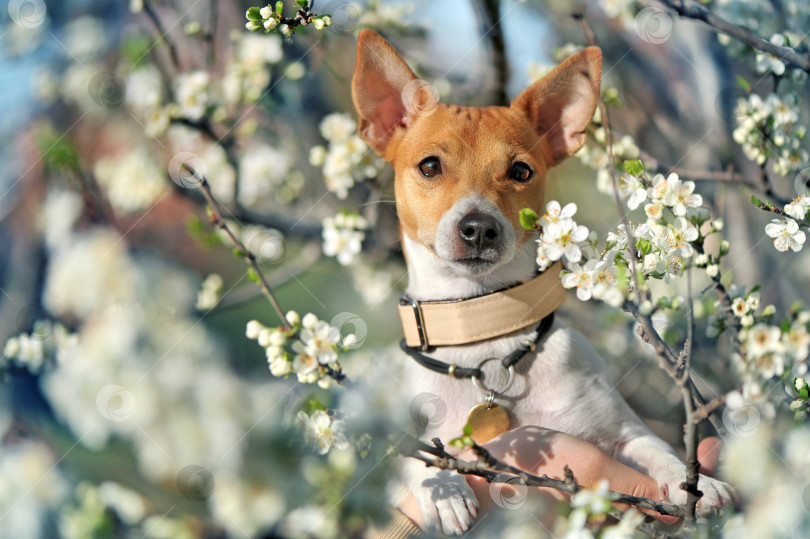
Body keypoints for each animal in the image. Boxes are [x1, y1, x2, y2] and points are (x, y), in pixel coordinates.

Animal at [350, 29, 728, 536]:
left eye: (520, 171)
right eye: (429, 166)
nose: (479, 228)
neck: (483, 327)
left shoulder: (621, 432)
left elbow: (656, 449)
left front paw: (699, 486)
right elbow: (406, 461)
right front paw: (444, 489)